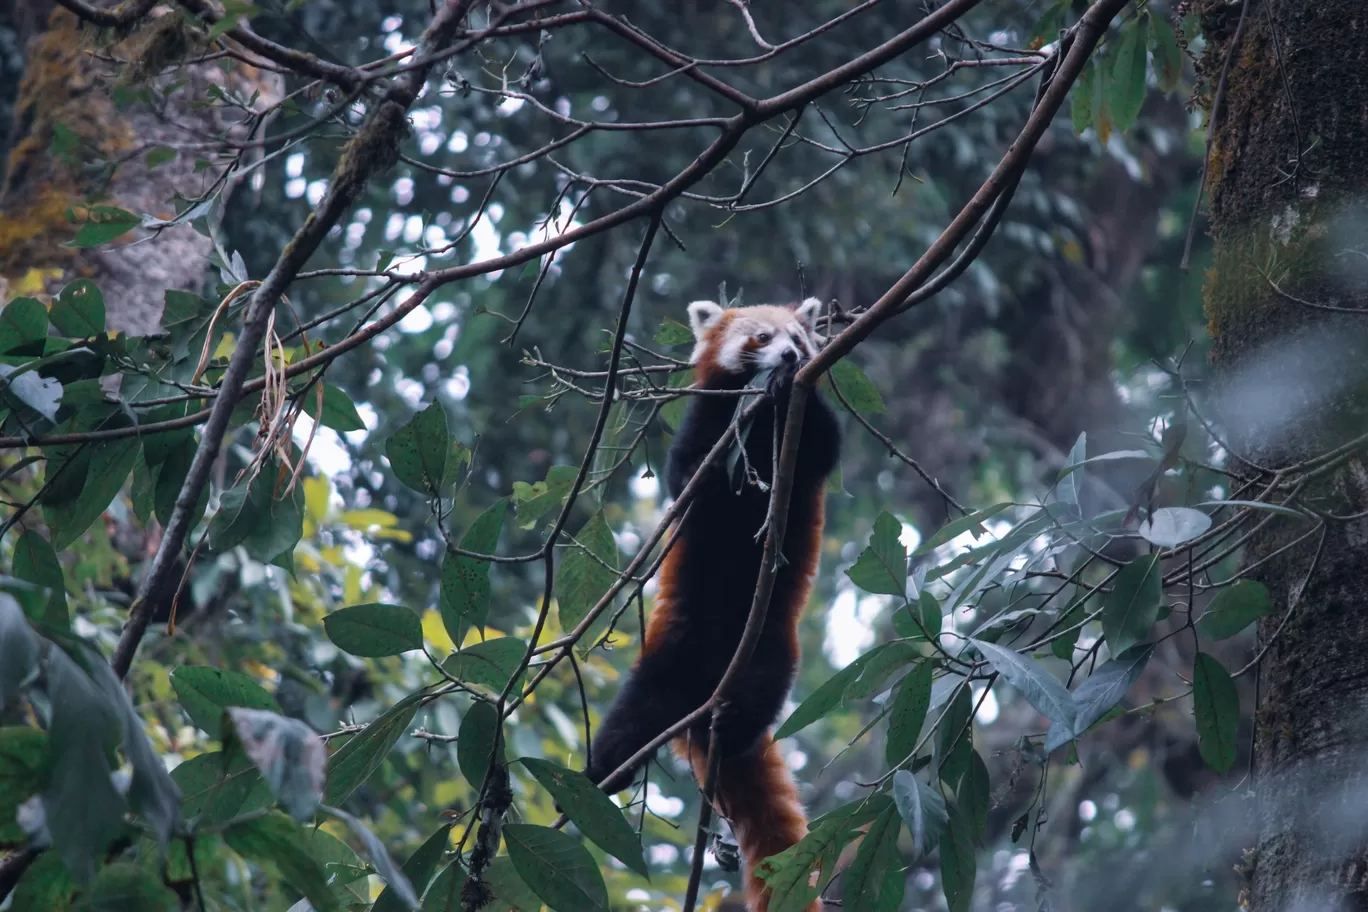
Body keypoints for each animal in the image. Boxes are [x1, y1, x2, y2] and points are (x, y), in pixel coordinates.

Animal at [582, 298, 837, 907]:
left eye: (798, 338)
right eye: (761, 337)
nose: (789, 356)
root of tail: (704, 695)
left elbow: (823, 443)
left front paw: (789, 388)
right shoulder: (703, 426)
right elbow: (689, 478)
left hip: (769, 649)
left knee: (754, 704)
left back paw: (732, 729)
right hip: (667, 660)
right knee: (632, 718)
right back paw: (602, 771)